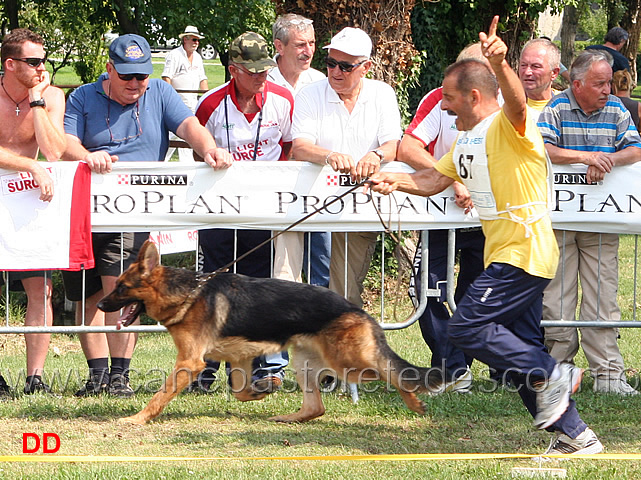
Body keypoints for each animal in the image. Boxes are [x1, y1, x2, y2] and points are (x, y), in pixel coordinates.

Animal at [97, 240, 442, 424]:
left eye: (122, 287)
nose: (99, 304)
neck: (186, 293)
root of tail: (357, 310)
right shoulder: (238, 358)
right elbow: (240, 391)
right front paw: (261, 390)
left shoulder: (189, 363)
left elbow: (161, 394)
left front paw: (137, 418)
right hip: (307, 363)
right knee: (316, 407)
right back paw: (288, 418)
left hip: (348, 363)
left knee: (392, 372)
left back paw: (414, 401)